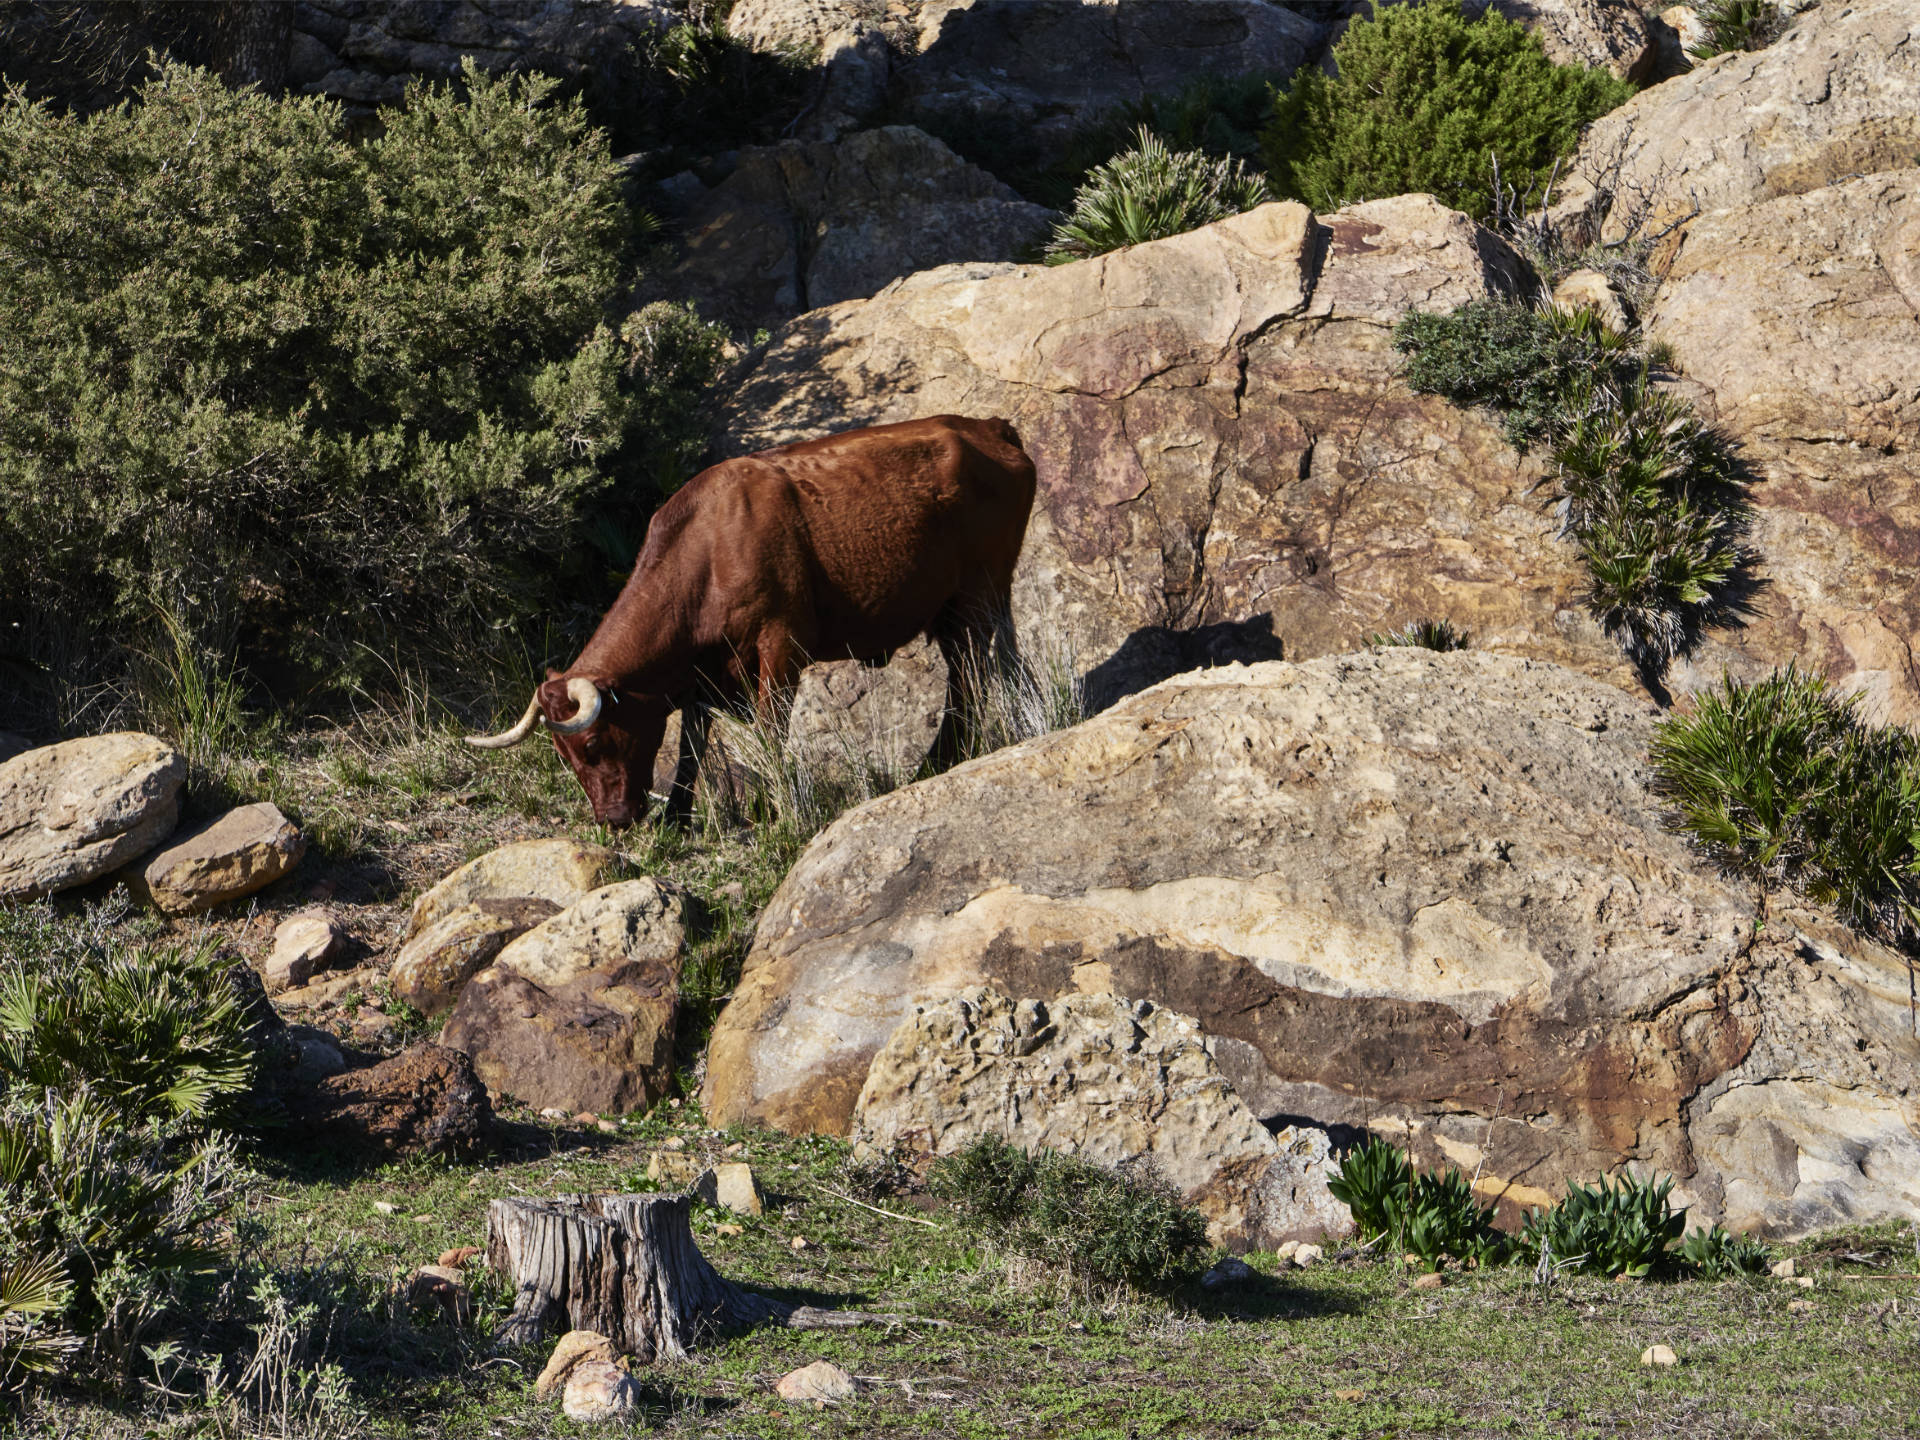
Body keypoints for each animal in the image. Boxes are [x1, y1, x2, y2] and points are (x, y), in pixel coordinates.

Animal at [464, 410, 1036, 829]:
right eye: (564, 756)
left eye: (594, 743)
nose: (614, 820)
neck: (708, 551)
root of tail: (986, 427)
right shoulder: (702, 676)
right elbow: (692, 747)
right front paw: (678, 817)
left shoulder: (780, 648)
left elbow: (770, 733)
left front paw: (779, 810)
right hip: (957, 608)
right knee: (973, 673)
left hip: (982, 593)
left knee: (985, 673)